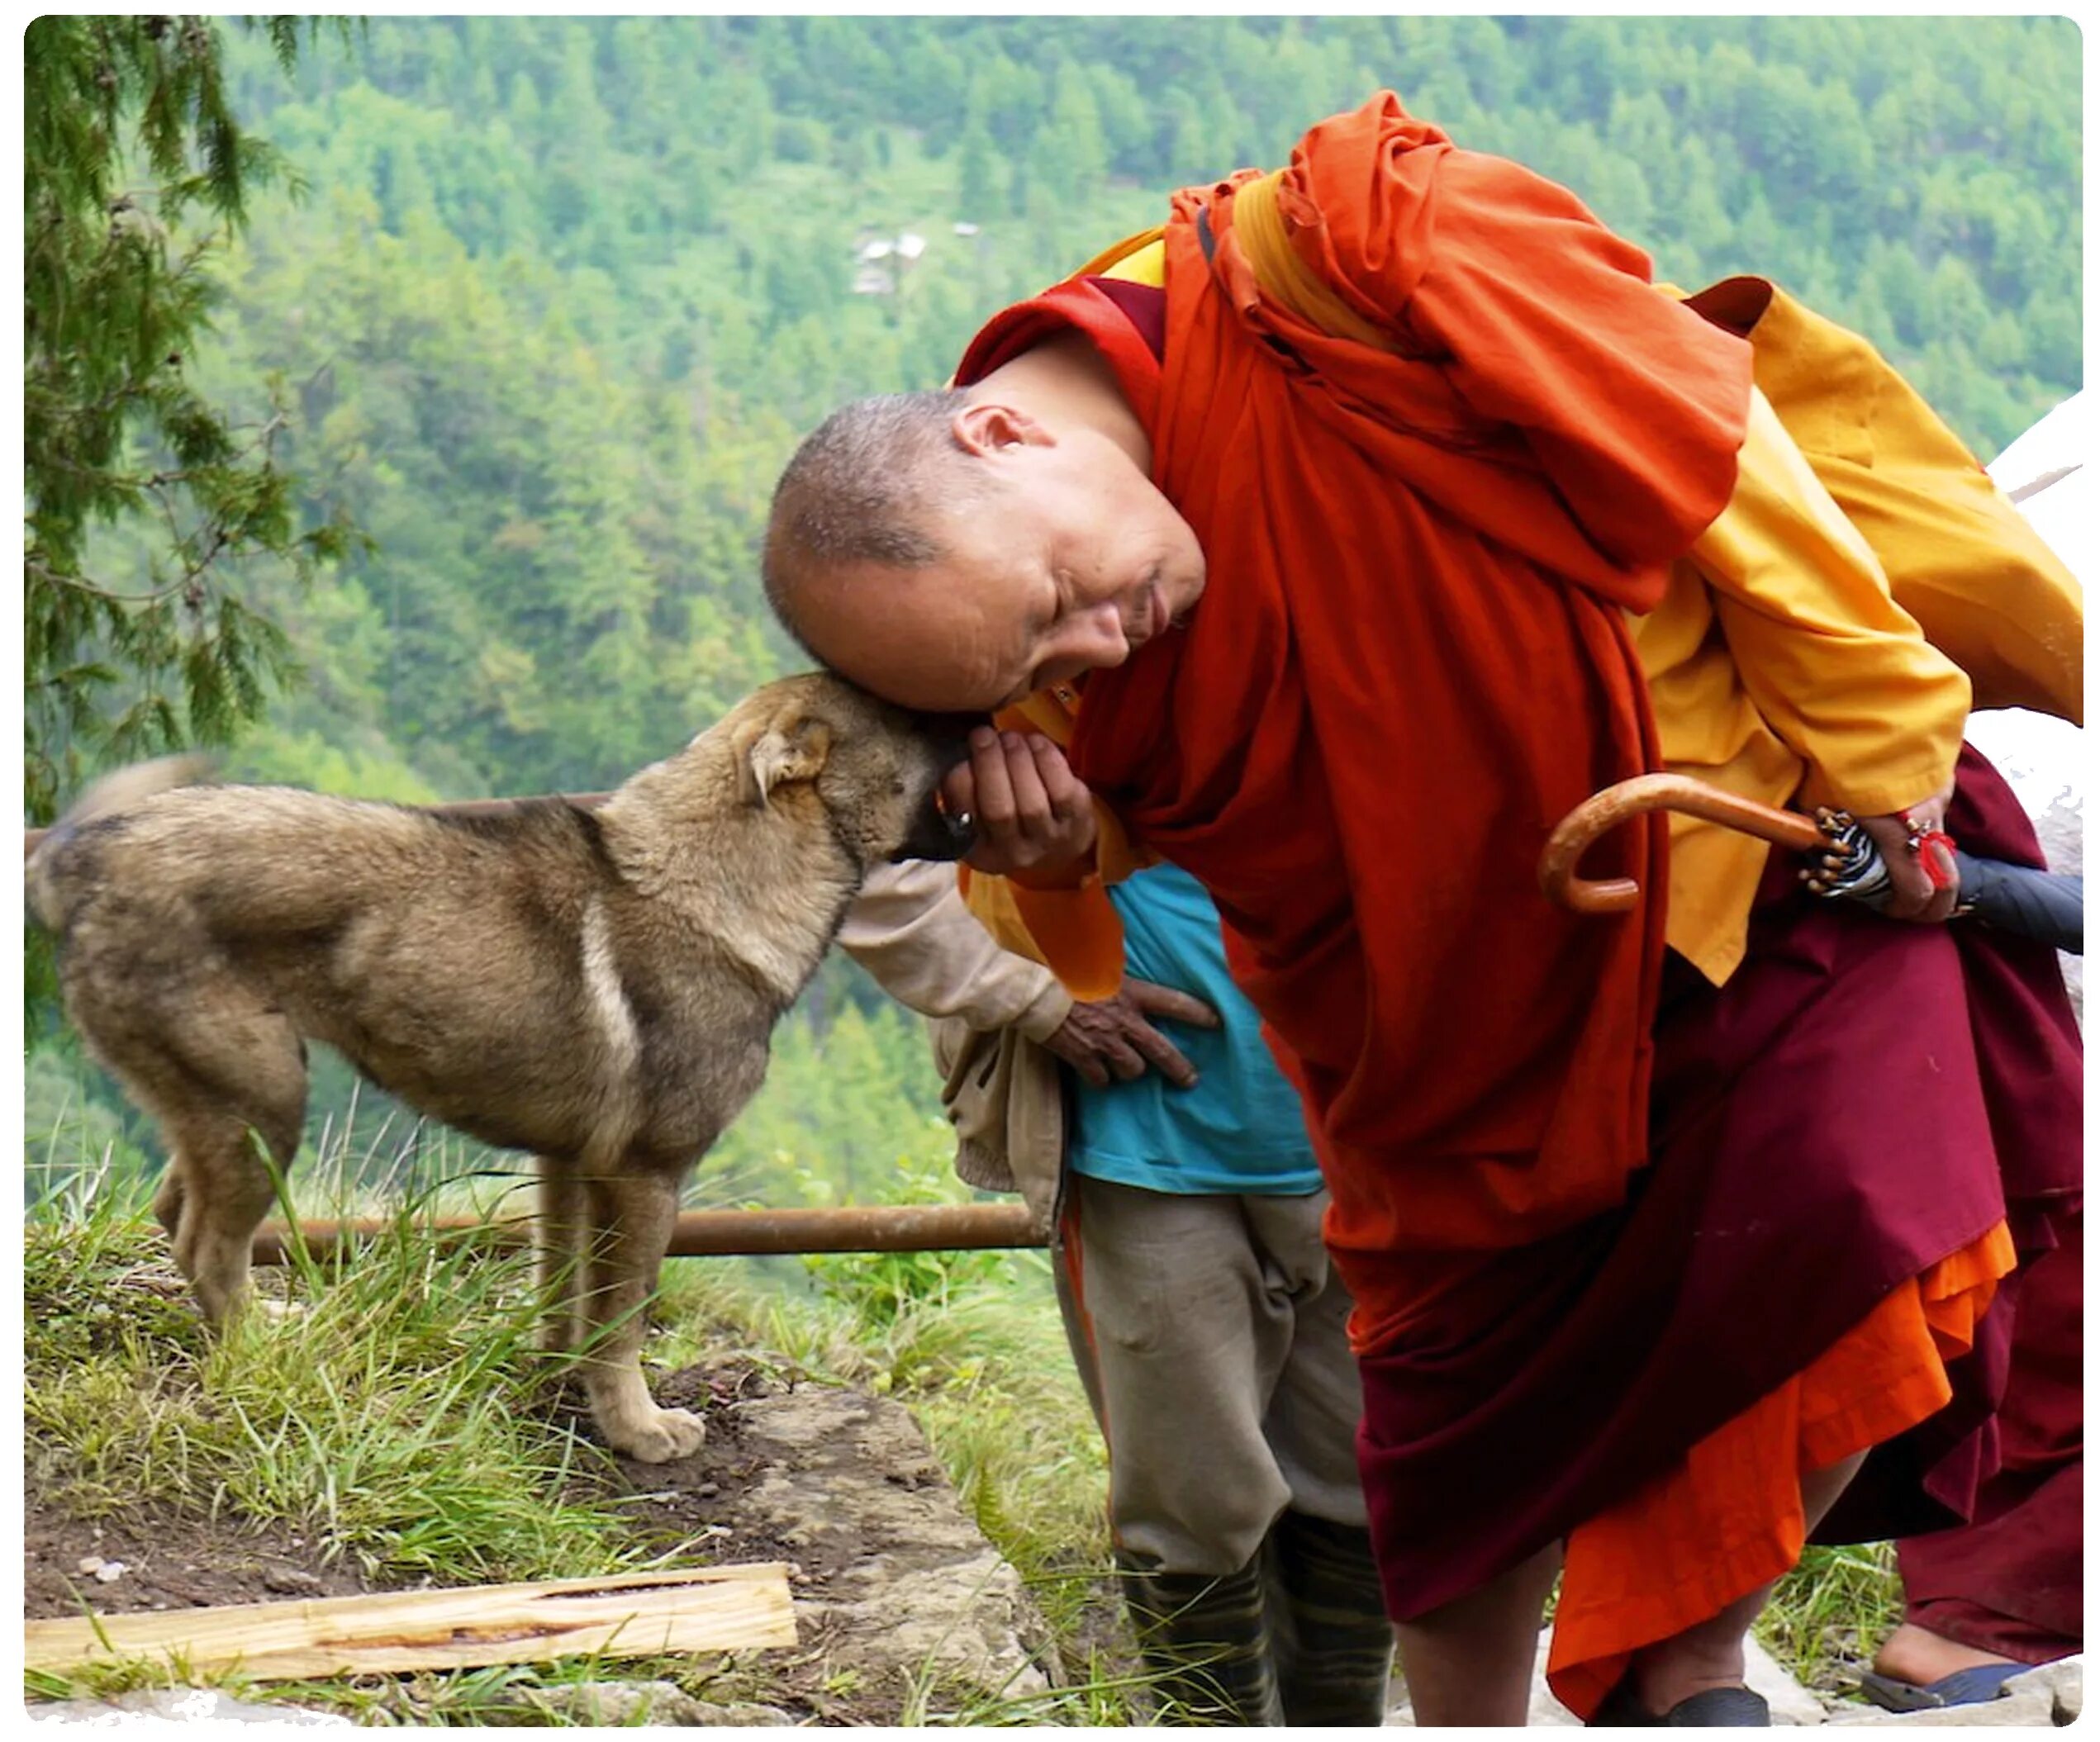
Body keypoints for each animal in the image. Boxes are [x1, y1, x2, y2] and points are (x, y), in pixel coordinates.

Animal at [28, 676, 974, 1469]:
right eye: (907, 719)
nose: (978, 712)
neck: (725, 877)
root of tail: (81, 857)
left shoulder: (569, 1163)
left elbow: (564, 1287)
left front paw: (558, 1377)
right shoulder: (648, 1174)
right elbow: (624, 1315)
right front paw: (639, 1429)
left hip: (226, 1103)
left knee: (176, 1213)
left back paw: (265, 1322)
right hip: (265, 1098)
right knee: (207, 1243)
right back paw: (264, 1355)